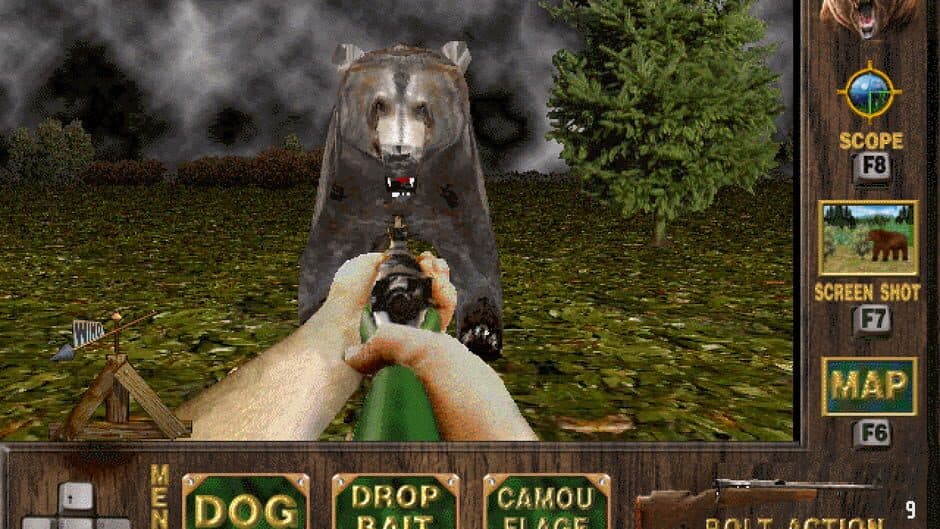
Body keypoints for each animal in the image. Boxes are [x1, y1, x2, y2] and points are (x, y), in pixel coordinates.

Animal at [297, 42, 504, 360]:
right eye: (379, 104)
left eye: (423, 107)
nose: (400, 151)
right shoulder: (353, 178)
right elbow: (332, 248)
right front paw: (321, 311)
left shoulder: (452, 173)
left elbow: (471, 249)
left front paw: (482, 333)